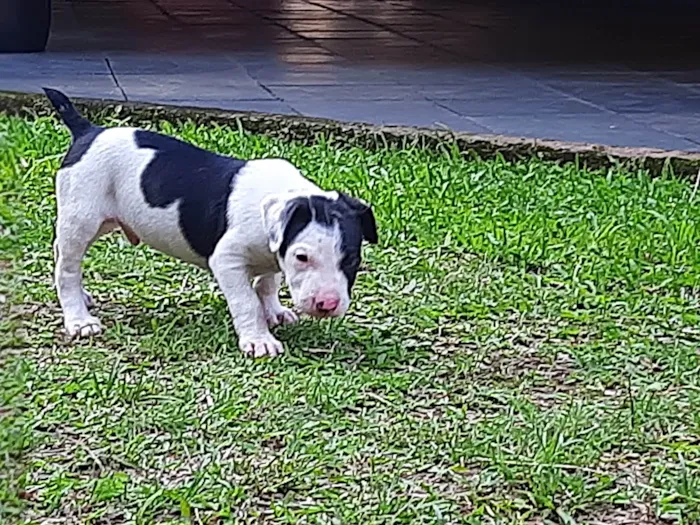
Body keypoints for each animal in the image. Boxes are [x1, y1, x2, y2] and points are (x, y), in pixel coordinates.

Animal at [43, 89, 378, 356]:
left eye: (352, 260)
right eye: (302, 257)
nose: (327, 304)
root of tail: (88, 131)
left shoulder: (272, 253)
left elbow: (267, 283)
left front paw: (275, 310)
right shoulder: (227, 260)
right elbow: (246, 301)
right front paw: (259, 339)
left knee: (61, 252)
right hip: (82, 218)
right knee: (68, 267)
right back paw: (78, 318)